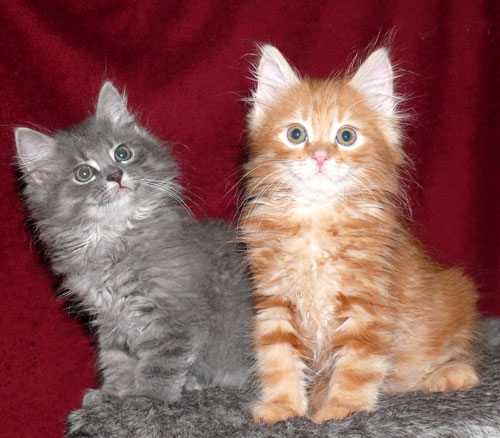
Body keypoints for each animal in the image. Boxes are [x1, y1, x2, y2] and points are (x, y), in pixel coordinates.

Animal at [15, 81, 252, 406]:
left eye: (122, 153)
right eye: (83, 173)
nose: (115, 175)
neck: (114, 242)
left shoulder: (175, 316)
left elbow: (159, 365)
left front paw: (146, 400)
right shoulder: (110, 322)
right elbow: (117, 361)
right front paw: (113, 396)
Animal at [239, 45, 479, 424]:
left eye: (346, 136)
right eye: (296, 134)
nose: (320, 157)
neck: (316, 219)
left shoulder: (367, 304)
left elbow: (357, 365)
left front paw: (343, 407)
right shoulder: (276, 301)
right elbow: (278, 359)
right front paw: (283, 405)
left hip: (456, 297)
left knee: (449, 352)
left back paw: (448, 373)